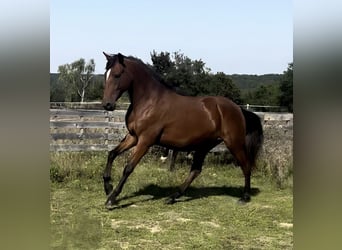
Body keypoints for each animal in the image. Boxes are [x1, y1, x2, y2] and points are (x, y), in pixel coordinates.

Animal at [100, 52, 264, 209]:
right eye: (105, 74)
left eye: (117, 74)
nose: (107, 104)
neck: (149, 102)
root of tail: (238, 109)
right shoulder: (133, 137)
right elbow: (112, 154)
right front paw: (108, 188)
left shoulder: (145, 140)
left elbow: (128, 167)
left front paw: (112, 199)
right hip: (205, 145)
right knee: (196, 170)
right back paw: (172, 197)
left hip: (234, 143)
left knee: (246, 165)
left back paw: (245, 197)